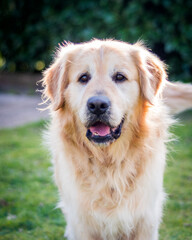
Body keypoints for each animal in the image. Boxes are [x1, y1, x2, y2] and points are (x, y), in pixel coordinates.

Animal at [41, 39, 191, 240]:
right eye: (83, 78)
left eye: (120, 77)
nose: (97, 105)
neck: (108, 163)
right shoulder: (81, 221)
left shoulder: (146, 219)